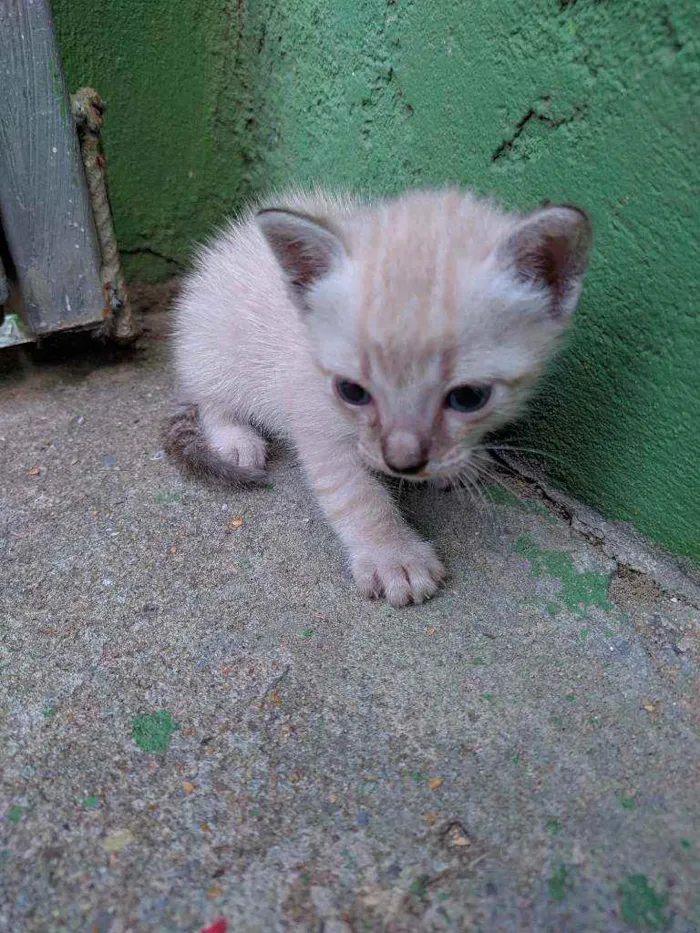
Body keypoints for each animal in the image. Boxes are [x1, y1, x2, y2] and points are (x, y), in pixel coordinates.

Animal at [164, 189, 592, 608]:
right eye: (351, 391)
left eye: (469, 397)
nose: (401, 463)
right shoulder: (312, 416)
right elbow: (357, 493)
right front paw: (394, 557)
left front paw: (461, 463)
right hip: (215, 351)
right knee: (210, 399)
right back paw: (235, 439)